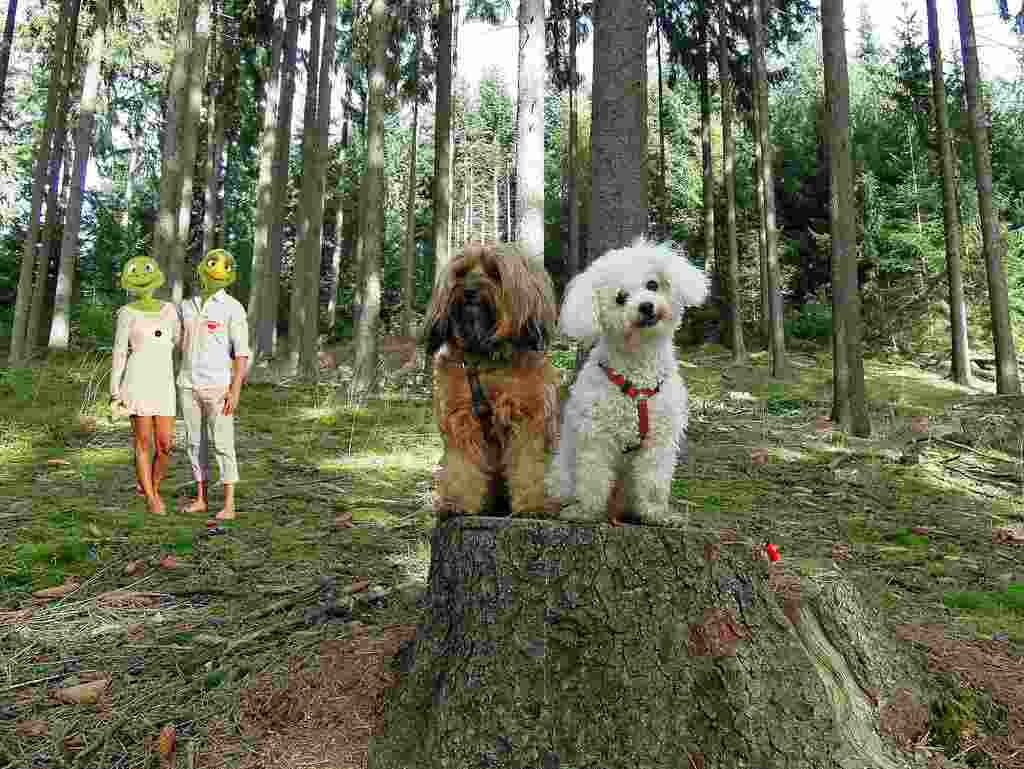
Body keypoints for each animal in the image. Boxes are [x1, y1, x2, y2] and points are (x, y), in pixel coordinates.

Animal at [423, 241, 561, 518]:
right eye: (461, 273)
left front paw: (535, 505)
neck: (486, 357)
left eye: (495, 272)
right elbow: (461, 467)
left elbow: (530, 465)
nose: (469, 292)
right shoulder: (461, 419)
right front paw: (456, 503)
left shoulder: (530, 418)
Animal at [552, 239, 704, 528]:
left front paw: (656, 514)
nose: (645, 306)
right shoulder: (596, 437)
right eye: (620, 298)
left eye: (652, 285)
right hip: (563, 475)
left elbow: (654, 482)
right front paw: (586, 511)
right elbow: (593, 478)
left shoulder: (658, 442)